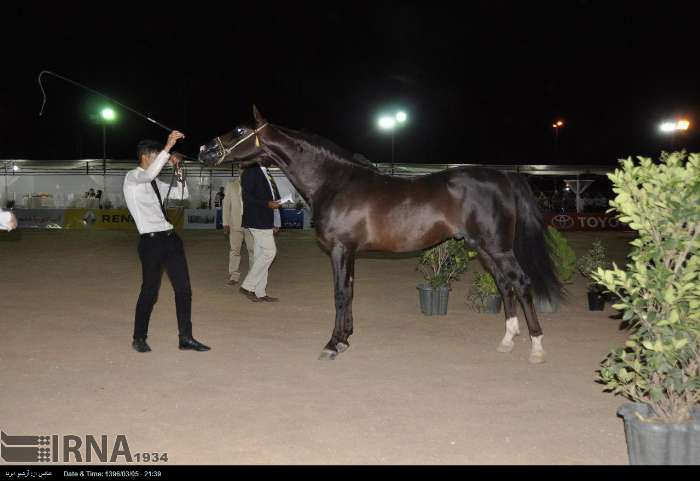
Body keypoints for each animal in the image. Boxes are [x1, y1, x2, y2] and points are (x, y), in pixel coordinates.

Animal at [200, 107, 560, 362]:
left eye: (241, 130)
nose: (205, 149)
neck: (335, 181)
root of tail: (504, 177)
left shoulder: (340, 249)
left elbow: (339, 294)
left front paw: (332, 344)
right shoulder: (350, 252)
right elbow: (349, 292)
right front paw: (345, 338)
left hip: (497, 248)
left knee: (521, 283)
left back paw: (537, 348)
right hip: (485, 248)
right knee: (505, 285)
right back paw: (507, 342)